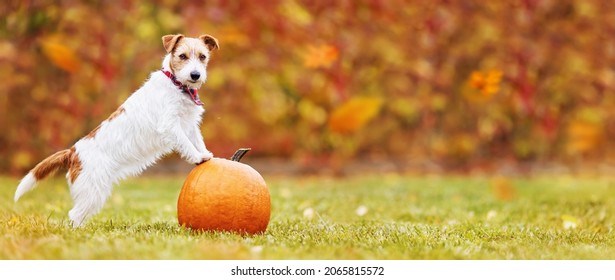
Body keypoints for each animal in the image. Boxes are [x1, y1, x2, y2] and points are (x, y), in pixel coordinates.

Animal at [13, 34, 221, 228]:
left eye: (203, 56)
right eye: (182, 56)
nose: (195, 75)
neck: (177, 85)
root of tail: (73, 152)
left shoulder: (189, 124)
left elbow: (197, 141)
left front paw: (206, 154)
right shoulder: (170, 125)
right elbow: (186, 144)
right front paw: (198, 157)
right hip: (93, 192)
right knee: (75, 215)